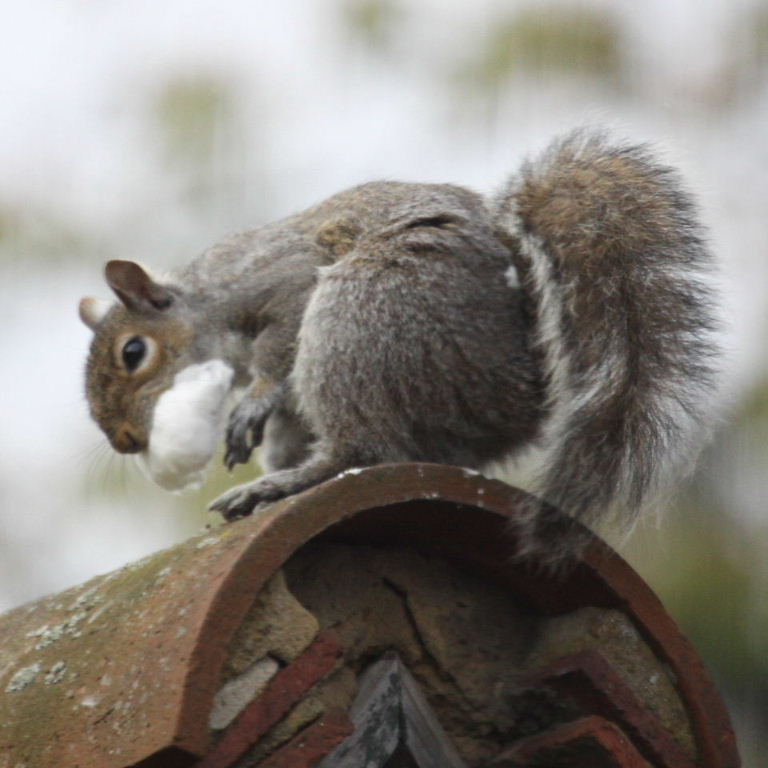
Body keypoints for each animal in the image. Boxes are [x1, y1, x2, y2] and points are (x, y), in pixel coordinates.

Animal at [79, 132, 720, 560]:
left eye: (133, 353)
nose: (126, 440)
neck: (208, 300)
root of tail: (512, 399)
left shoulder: (285, 282)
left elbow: (278, 346)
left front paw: (254, 400)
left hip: (361, 313)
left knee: (361, 448)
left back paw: (282, 483)